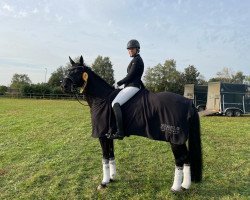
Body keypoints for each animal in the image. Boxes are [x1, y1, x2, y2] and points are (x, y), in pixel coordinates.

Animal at [61, 55, 202, 191]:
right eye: (68, 70)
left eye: (78, 71)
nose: (63, 86)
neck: (101, 99)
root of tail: (188, 103)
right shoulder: (109, 136)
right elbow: (111, 155)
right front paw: (112, 178)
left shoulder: (102, 135)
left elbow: (105, 157)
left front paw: (104, 182)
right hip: (179, 140)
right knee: (187, 158)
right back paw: (185, 186)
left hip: (175, 139)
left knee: (180, 159)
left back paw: (175, 188)